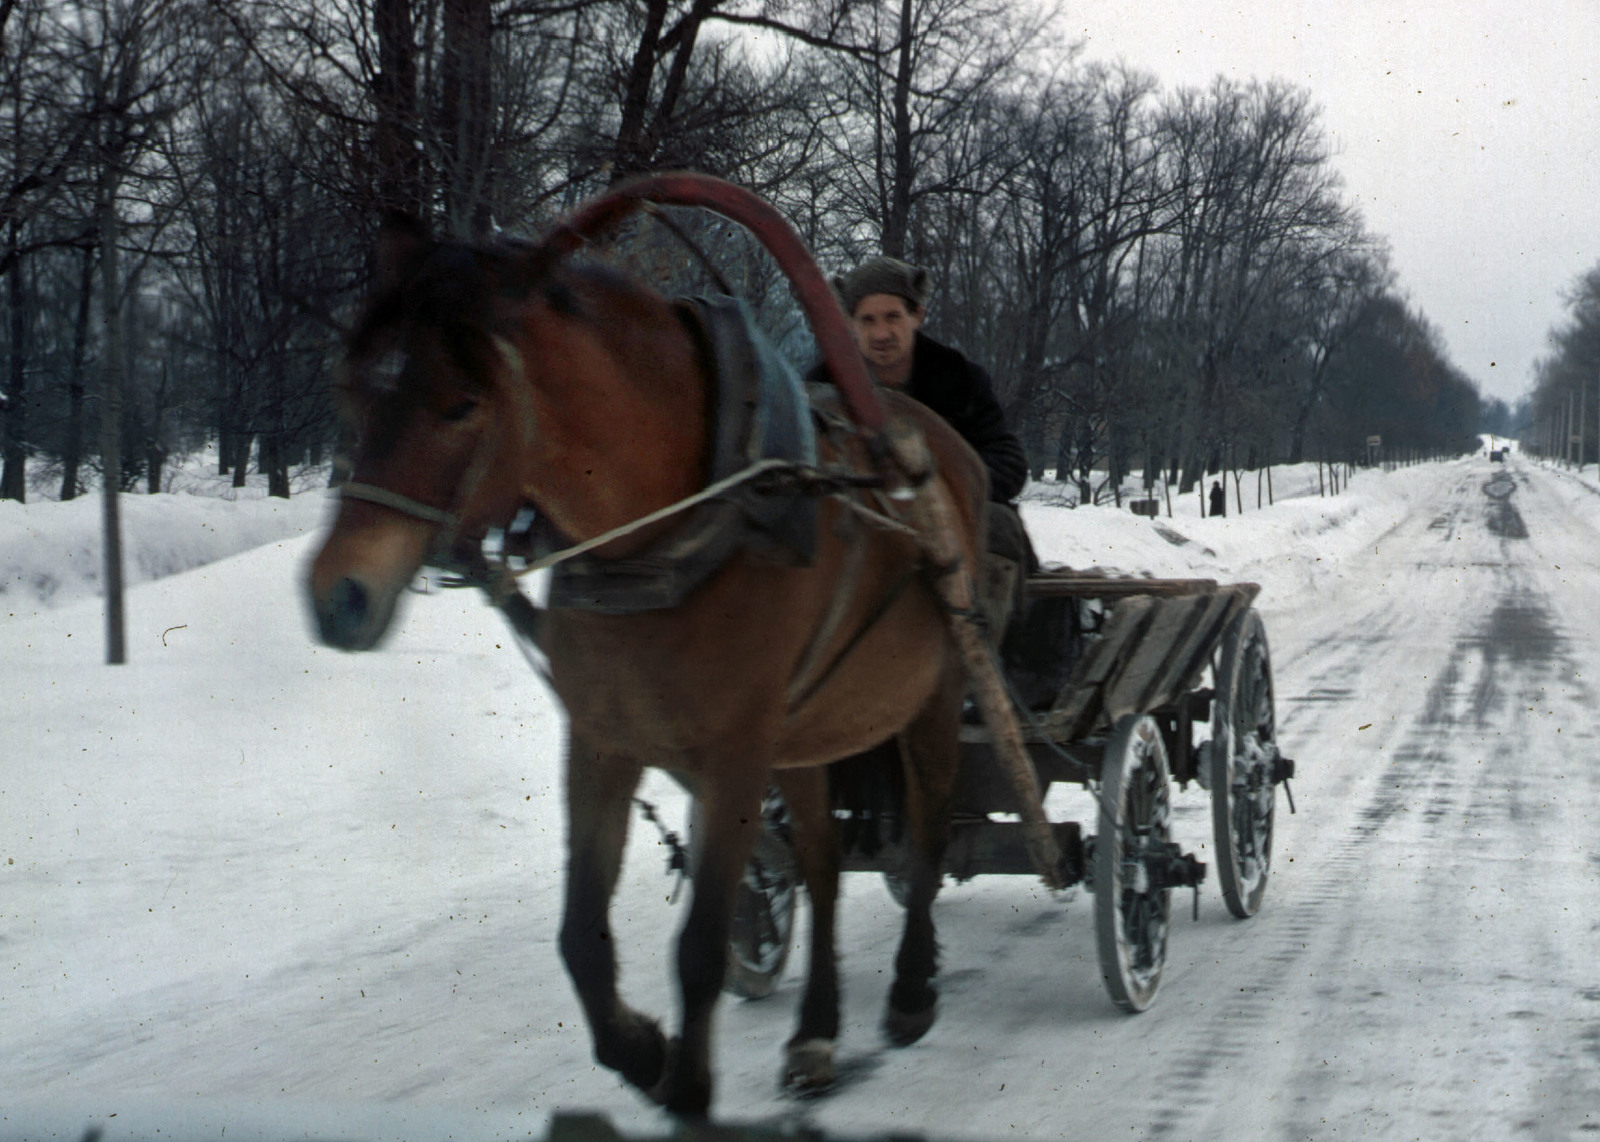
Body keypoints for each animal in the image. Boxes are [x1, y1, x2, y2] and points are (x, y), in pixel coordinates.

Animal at [305, 191, 992, 1106]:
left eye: (462, 405)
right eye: (352, 391)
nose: (337, 597)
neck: (673, 525)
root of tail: (942, 445)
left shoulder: (735, 751)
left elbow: (699, 944)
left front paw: (688, 1086)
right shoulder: (604, 738)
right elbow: (579, 936)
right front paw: (639, 1048)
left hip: (936, 692)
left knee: (926, 836)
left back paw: (913, 990)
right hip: (806, 733)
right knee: (820, 858)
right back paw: (815, 1031)